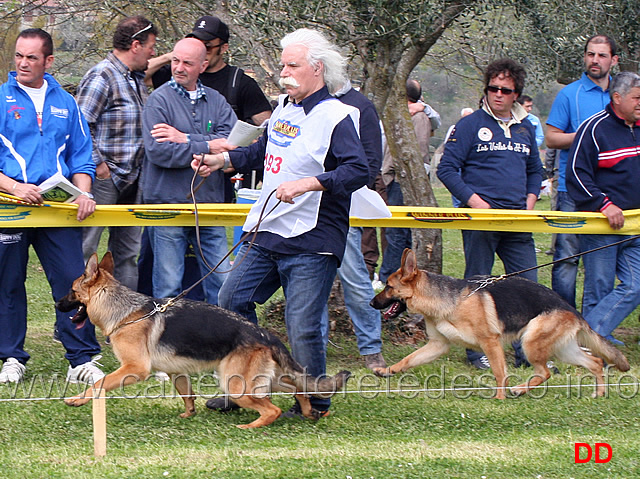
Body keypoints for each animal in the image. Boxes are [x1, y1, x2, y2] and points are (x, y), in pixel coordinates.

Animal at [56, 253, 350, 430]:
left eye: (71, 290)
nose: (57, 304)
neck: (125, 311)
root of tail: (266, 335)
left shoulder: (134, 369)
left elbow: (99, 384)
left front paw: (77, 400)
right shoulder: (176, 372)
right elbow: (188, 394)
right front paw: (189, 415)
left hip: (236, 384)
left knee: (272, 409)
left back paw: (251, 426)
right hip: (264, 379)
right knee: (298, 388)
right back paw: (309, 412)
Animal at [370, 249, 632, 400]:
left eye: (388, 287)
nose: (372, 302)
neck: (448, 300)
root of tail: (572, 310)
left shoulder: (490, 342)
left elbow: (498, 372)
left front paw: (499, 398)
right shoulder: (437, 345)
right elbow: (408, 360)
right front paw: (387, 370)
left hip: (530, 342)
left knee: (545, 372)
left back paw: (519, 389)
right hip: (563, 350)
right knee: (595, 362)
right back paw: (599, 392)